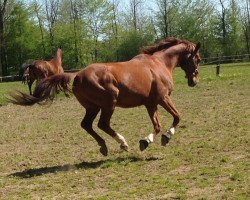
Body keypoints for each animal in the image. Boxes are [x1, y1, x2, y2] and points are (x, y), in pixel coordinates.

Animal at [10, 37, 201, 156]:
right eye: (197, 59)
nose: (194, 81)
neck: (158, 64)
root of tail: (77, 76)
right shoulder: (163, 98)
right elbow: (177, 117)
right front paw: (165, 137)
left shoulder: (150, 103)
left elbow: (157, 125)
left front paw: (147, 141)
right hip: (109, 103)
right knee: (102, 124)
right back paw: (122, 143)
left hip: (93, 107)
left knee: (87, 125)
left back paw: (104, 146)